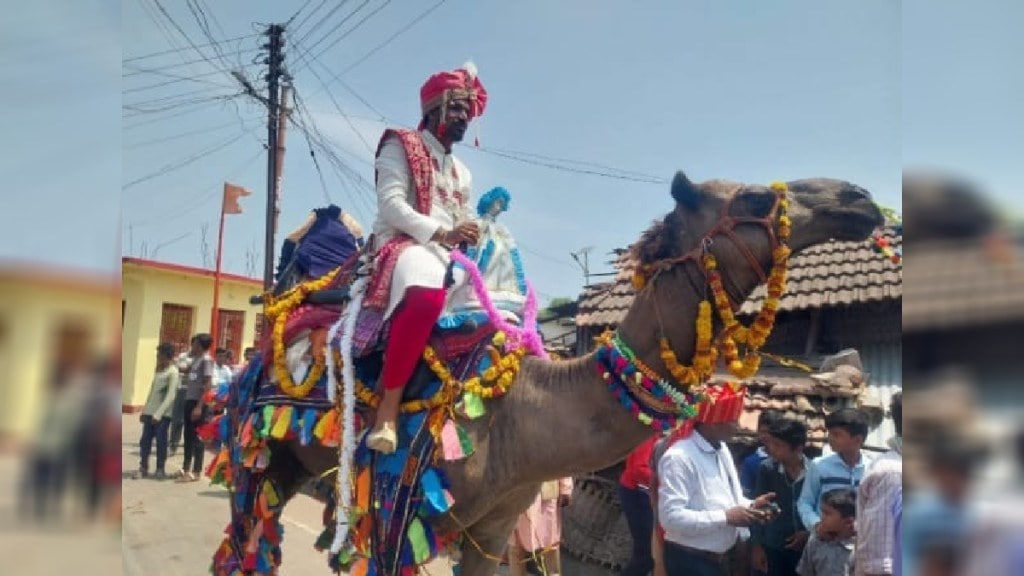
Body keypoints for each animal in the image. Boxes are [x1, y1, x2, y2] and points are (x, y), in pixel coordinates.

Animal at [222, 170, 880, 573]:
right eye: (755, 200)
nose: (859, 199)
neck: (523, 409)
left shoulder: (491, 531)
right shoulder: (397, 514)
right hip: (257, 454)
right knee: (244, 540)